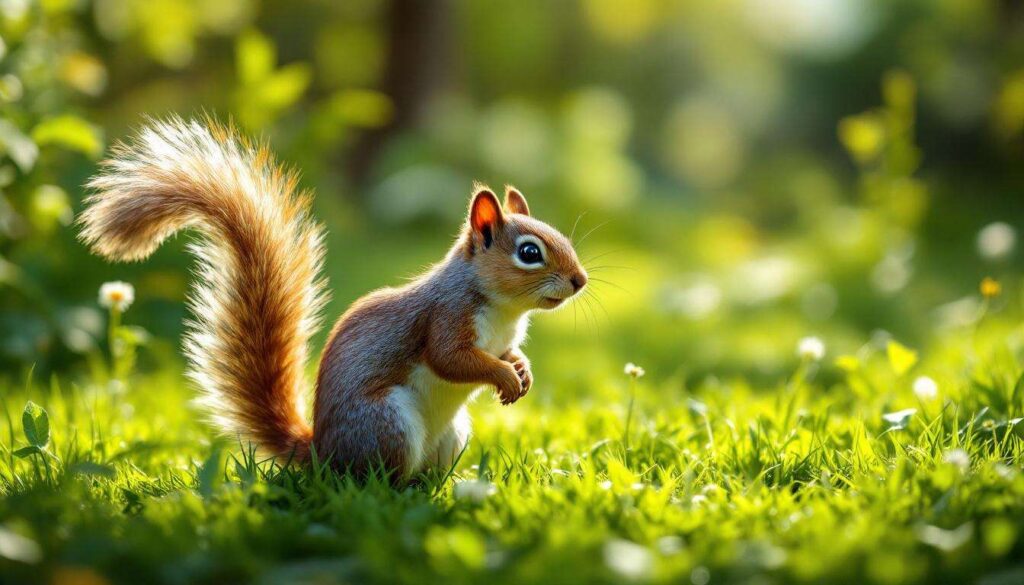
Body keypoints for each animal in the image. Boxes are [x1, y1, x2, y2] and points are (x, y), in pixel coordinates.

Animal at [78, 117, 588, 478]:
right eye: (529, 253)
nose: (580, 280)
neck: (503, 309)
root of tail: (322, 452)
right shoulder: (446, 317)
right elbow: (452, 359)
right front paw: (502, 375)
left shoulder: (501, 336)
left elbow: (508, 352)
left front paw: (521, 370)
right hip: (386, 424)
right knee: (377, 482)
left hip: (450, 436)